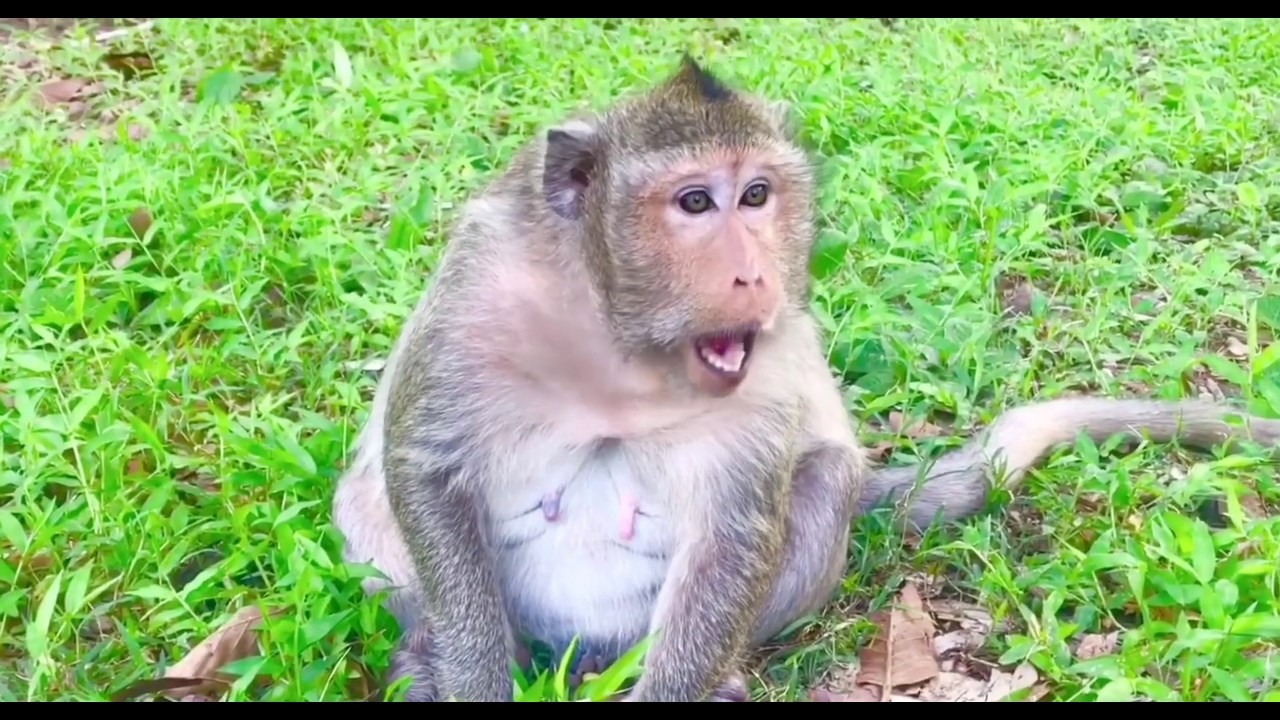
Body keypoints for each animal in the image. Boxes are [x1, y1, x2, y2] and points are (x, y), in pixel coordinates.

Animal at [330, 55, 1280, 702]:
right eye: (695, 203)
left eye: (756, 195)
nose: (754, 273)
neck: (623, 340)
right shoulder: (480, 293)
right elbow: (425, 467)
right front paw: (469, 679)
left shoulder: (773, 354)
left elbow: (734, 526)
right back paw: (426, 652)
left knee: (821, 477)